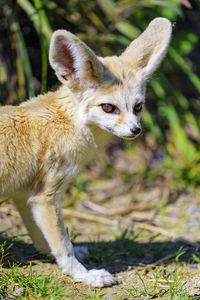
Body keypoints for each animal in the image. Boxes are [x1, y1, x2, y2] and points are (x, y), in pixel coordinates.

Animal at [0, 18, 172, 286]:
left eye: (138, 107)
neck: (65, 122)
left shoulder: (24, 196)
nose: (136, 130)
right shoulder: (45, 197)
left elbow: (42, 238)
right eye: (109, 107)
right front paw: (84, 275)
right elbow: (63, 245)